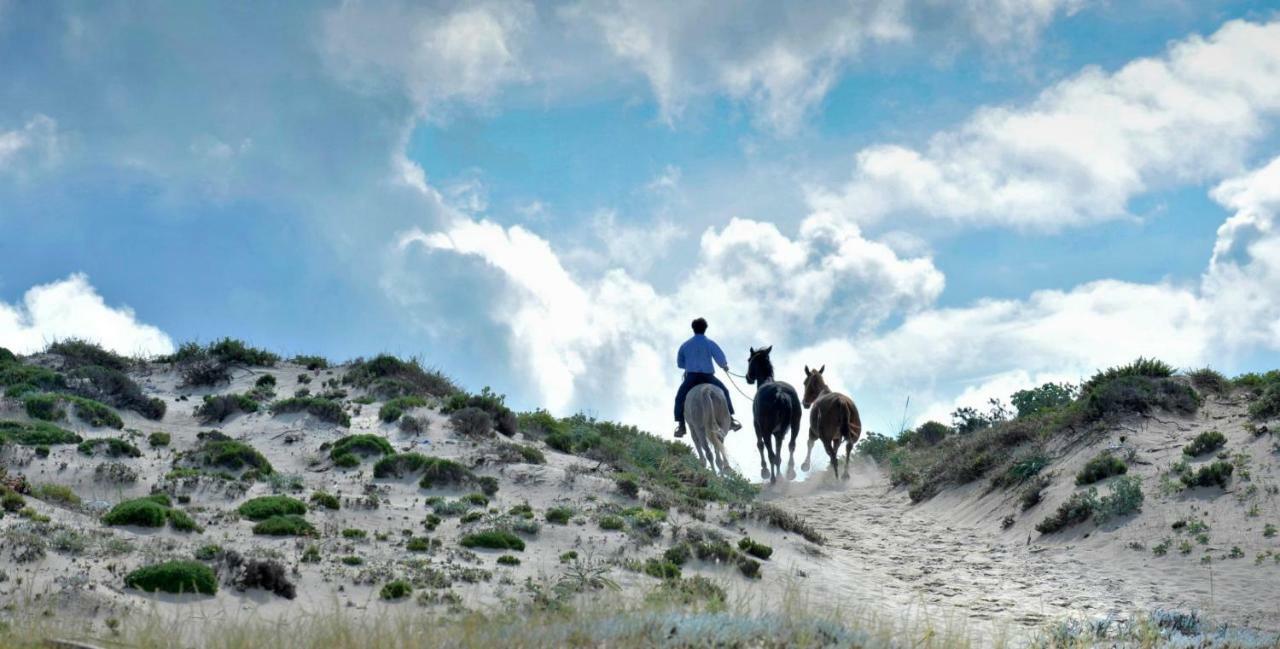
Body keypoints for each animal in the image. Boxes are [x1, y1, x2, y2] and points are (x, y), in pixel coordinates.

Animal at [747, 345, 793, 483]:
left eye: (749, 359)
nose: (748, 377)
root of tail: (779, 395)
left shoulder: (756, 425)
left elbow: (760, 444)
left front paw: (765, 471)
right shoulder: (777, 433)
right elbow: (778, 455)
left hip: (766, 431)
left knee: (771, 454)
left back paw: (772, 479)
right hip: (782, 432)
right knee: (778, 454)